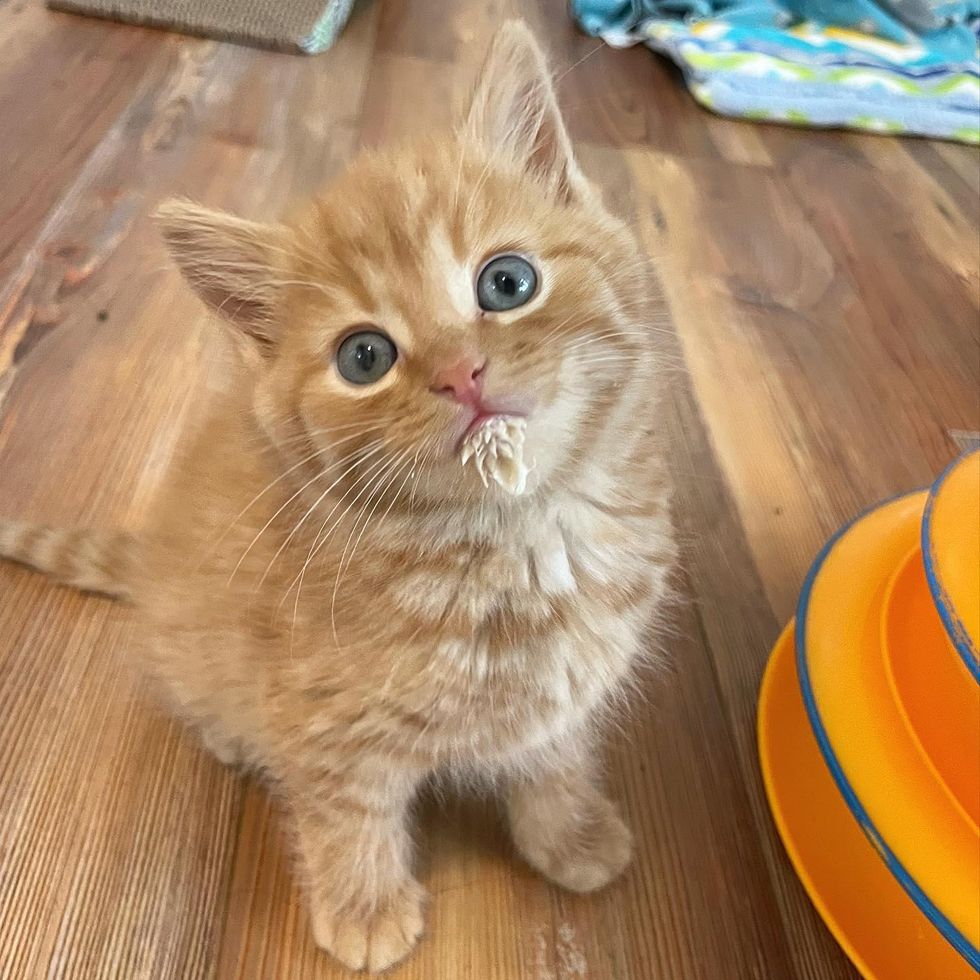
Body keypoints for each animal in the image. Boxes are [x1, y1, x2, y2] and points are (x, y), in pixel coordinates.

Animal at [0, 21, 672, 972]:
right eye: (365, 357)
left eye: (507, 282)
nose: (461, 374)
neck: (511, 544)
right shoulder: (323, 720)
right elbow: (344, 811)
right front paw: (363, 906)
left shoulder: (573, 685)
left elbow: (556, 756)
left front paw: (569, 833)